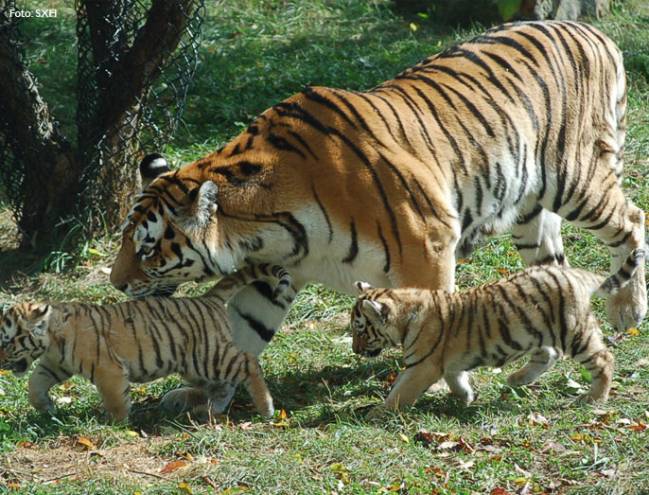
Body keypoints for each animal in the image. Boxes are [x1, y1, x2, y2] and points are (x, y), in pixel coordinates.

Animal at [0, 264, 291, 421]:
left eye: (7, 342)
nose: (1, 361)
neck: (51, 338)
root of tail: (206, 298)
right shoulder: (54, 365)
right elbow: (34, 384)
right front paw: (46, 407)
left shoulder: (108, 369)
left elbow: (115, 399)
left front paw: (115, 423)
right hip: (195, 366)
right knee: (223, 386)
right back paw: (208, 410)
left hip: (210, 357)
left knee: (249, 363)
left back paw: (266, 409)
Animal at [350, 248, 645, 411]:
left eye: (361, 330)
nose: (354, 349)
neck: (405, 314)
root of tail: (574, 274)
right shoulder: (449, 363)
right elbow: (457, 380)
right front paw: (466, 398)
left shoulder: (422, 366)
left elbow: (400, 393)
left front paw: (378, 413)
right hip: (538, 330)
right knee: (549, 355)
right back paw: (517, 378)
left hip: (574, 331)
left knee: (604, 359)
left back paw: (594, 399)